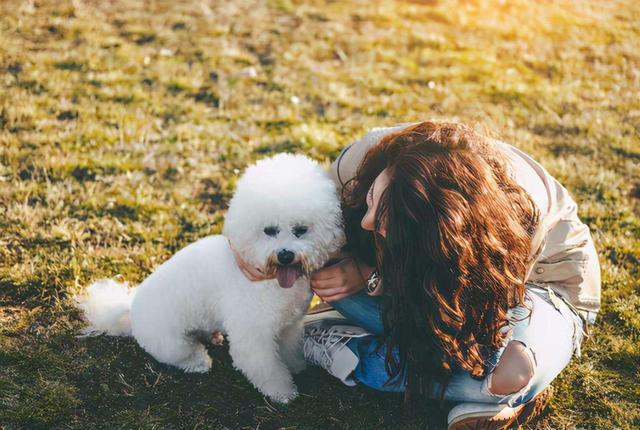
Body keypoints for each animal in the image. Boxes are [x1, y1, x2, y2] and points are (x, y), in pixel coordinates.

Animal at [75, 155, 344, 404]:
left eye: (301, 230)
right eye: (269, 230)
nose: (285, 255)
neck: (271, 281)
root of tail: (130, 308)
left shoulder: (289, 325)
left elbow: (289, 350)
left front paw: (296, 367)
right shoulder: (253, 336)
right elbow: (267, 369)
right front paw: (283, 393)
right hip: (171, 342)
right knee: (182, 354)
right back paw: (199, 361)